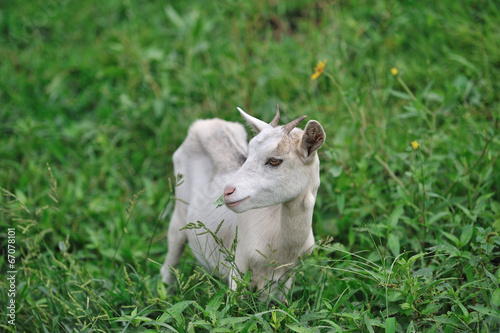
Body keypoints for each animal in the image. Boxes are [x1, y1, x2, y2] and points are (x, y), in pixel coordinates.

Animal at [159, 106, 324, 300]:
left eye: (275, 160)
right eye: (248, 154)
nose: (227, 191)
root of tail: (204, 123)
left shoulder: (286, 279)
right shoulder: (238, 269)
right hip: (180, 209)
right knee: (172, 251)